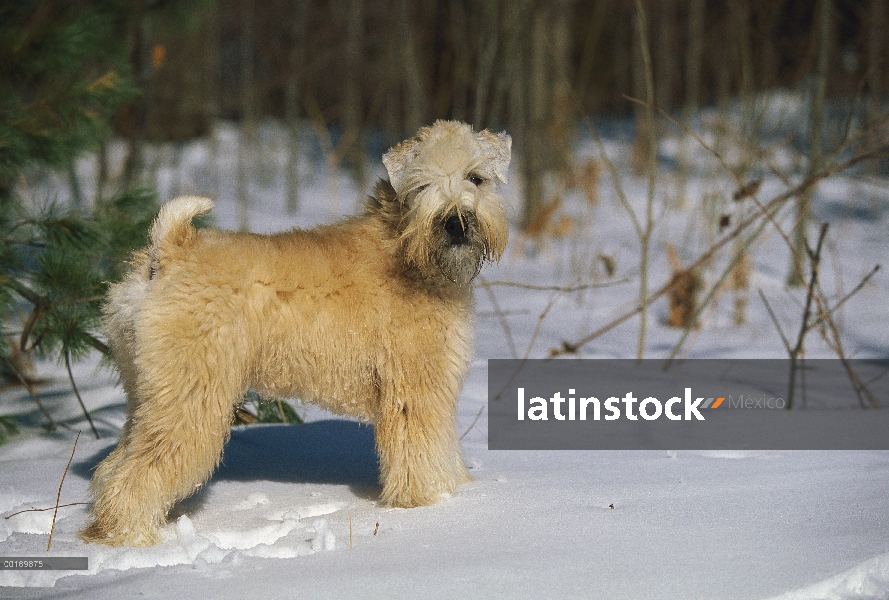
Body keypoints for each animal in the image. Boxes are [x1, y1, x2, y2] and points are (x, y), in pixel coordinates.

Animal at [83, 119, 512, 548]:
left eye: (476, 177)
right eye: (421, 185)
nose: (456, 223)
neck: (406, 250)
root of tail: (167, 251)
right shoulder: (416, 390)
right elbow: (422, 455)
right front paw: (429, 503)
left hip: (148, 393)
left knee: (116, 462)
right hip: (190, 398)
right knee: (140, 470)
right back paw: (132, 536)